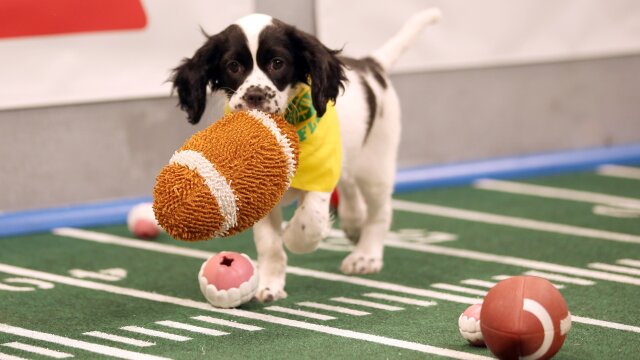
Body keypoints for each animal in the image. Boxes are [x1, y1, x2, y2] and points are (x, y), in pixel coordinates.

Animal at [171, 8, 440, 302]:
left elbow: (310, 219)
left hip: (376, 163)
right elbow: (269, 245)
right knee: (350, 189)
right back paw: (353, 223)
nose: (255, 96)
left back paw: (366, 255)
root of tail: (371, 66)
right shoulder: (261, 193)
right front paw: (269, 285)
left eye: (277, 63)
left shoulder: (320, 175)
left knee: (380, 211)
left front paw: (293, 237)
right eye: (233, 66)